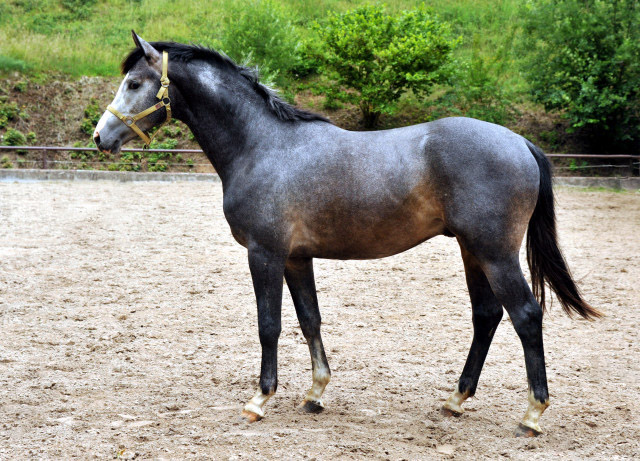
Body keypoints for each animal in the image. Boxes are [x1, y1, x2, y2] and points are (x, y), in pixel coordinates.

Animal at [95, 32, 600, 434]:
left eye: (134, 83)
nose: (100, 137)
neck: (262, 146)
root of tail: (520, 142)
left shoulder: (264, 254)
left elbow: (269, 324)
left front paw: (260, 399)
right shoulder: (296, 257)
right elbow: (309, 320)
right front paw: (315, 393)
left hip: (495, 253)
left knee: (526, 316)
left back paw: (532, 414)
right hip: (473, 252)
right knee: (487, 316)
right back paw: (455, 401)